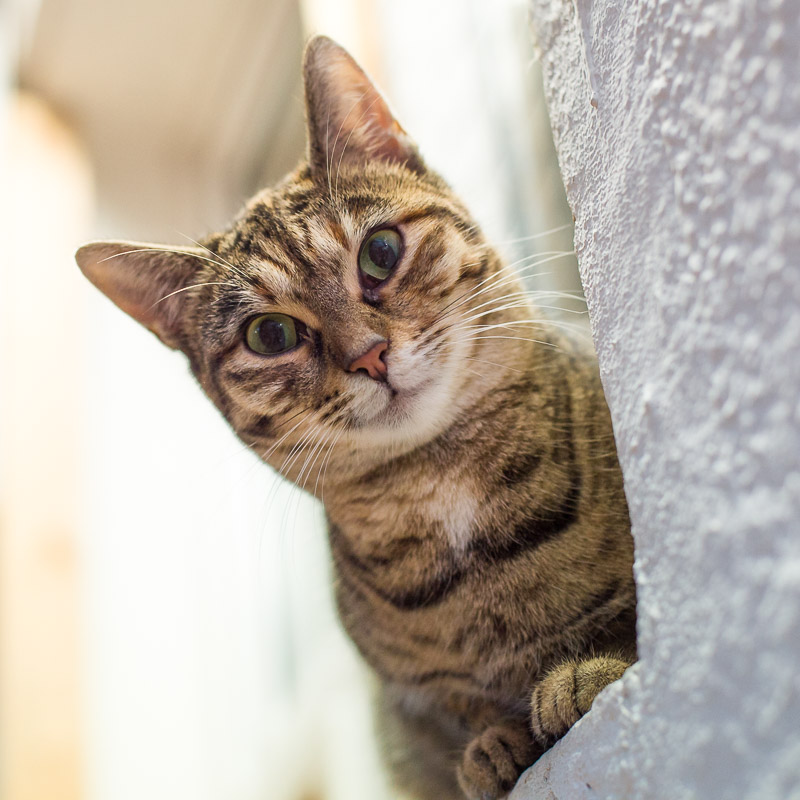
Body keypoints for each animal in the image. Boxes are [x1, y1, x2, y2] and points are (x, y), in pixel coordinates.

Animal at [76, 36, 636, 800]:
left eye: (381, 251)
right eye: (270, 335)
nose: (369, 355)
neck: (441, 486)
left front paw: (584, 675)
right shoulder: (417, 707)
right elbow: (461, 718)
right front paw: (492, 745)